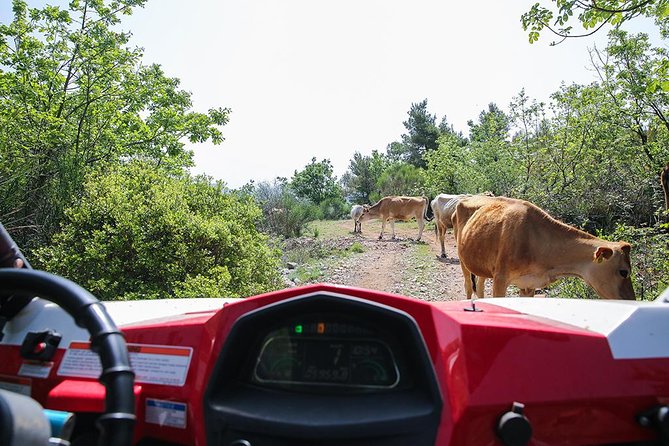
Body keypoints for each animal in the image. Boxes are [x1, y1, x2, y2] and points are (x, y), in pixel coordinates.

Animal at [452, 195, 636, 300]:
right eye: (624, 272)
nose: (632, 300)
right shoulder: (500, 279)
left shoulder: (529, 284)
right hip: (462, 260)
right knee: (468, 286)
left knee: (479, 285)